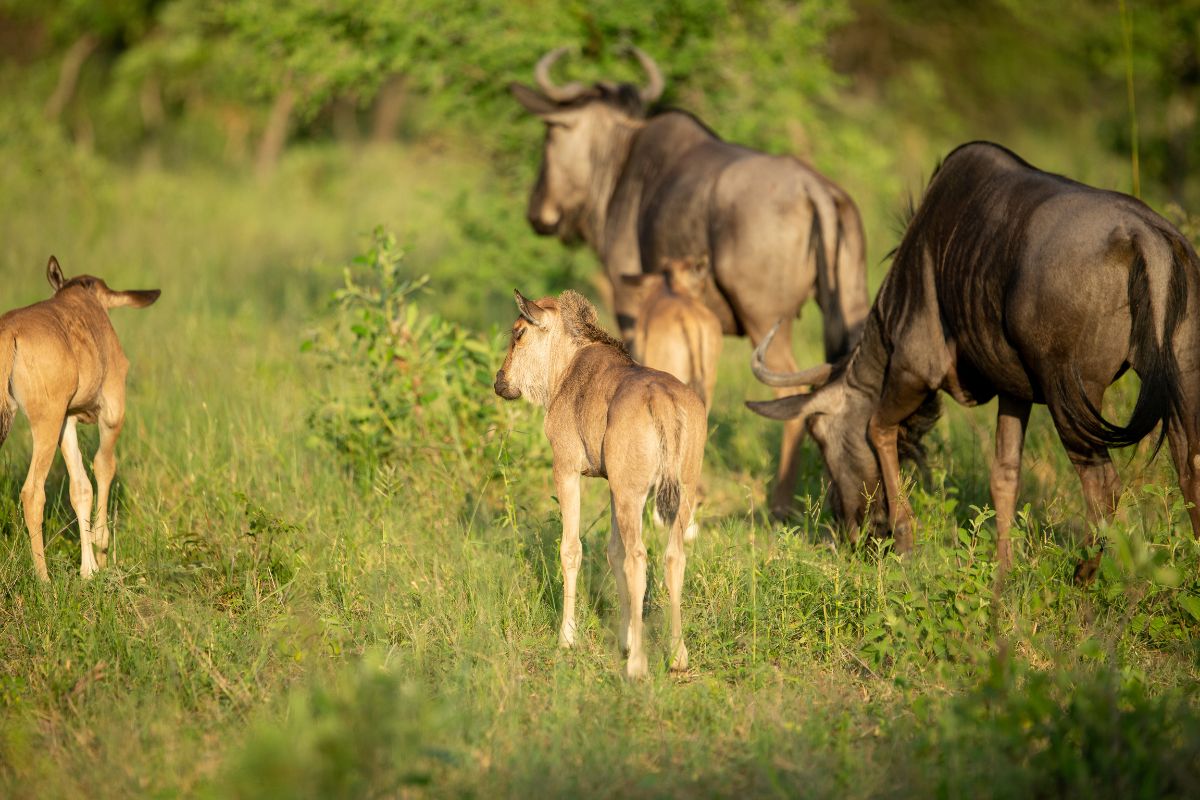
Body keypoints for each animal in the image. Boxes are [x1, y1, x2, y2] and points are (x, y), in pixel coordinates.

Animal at [0, 256, 160, 581]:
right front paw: (101, 548)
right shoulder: (112, 411)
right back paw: (44, 579)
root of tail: (10, 333)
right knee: (32, 492)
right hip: (45, 423)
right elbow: (103, 466)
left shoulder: (67, 420)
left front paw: (89, 570)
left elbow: (80, 488)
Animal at [494, 289, 706, 678]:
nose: (500, 381)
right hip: (677, 492)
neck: (567, 366)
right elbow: (613, 551)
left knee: (640, 557)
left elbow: (571, 549)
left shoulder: (566, 469)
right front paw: (624, 639)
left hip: (633, 495)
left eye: (518, 332)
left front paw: (567, 638)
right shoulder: (612, 484)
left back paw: (638, 666)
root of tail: (663, 401)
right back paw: (677, 656)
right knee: (673, 556)